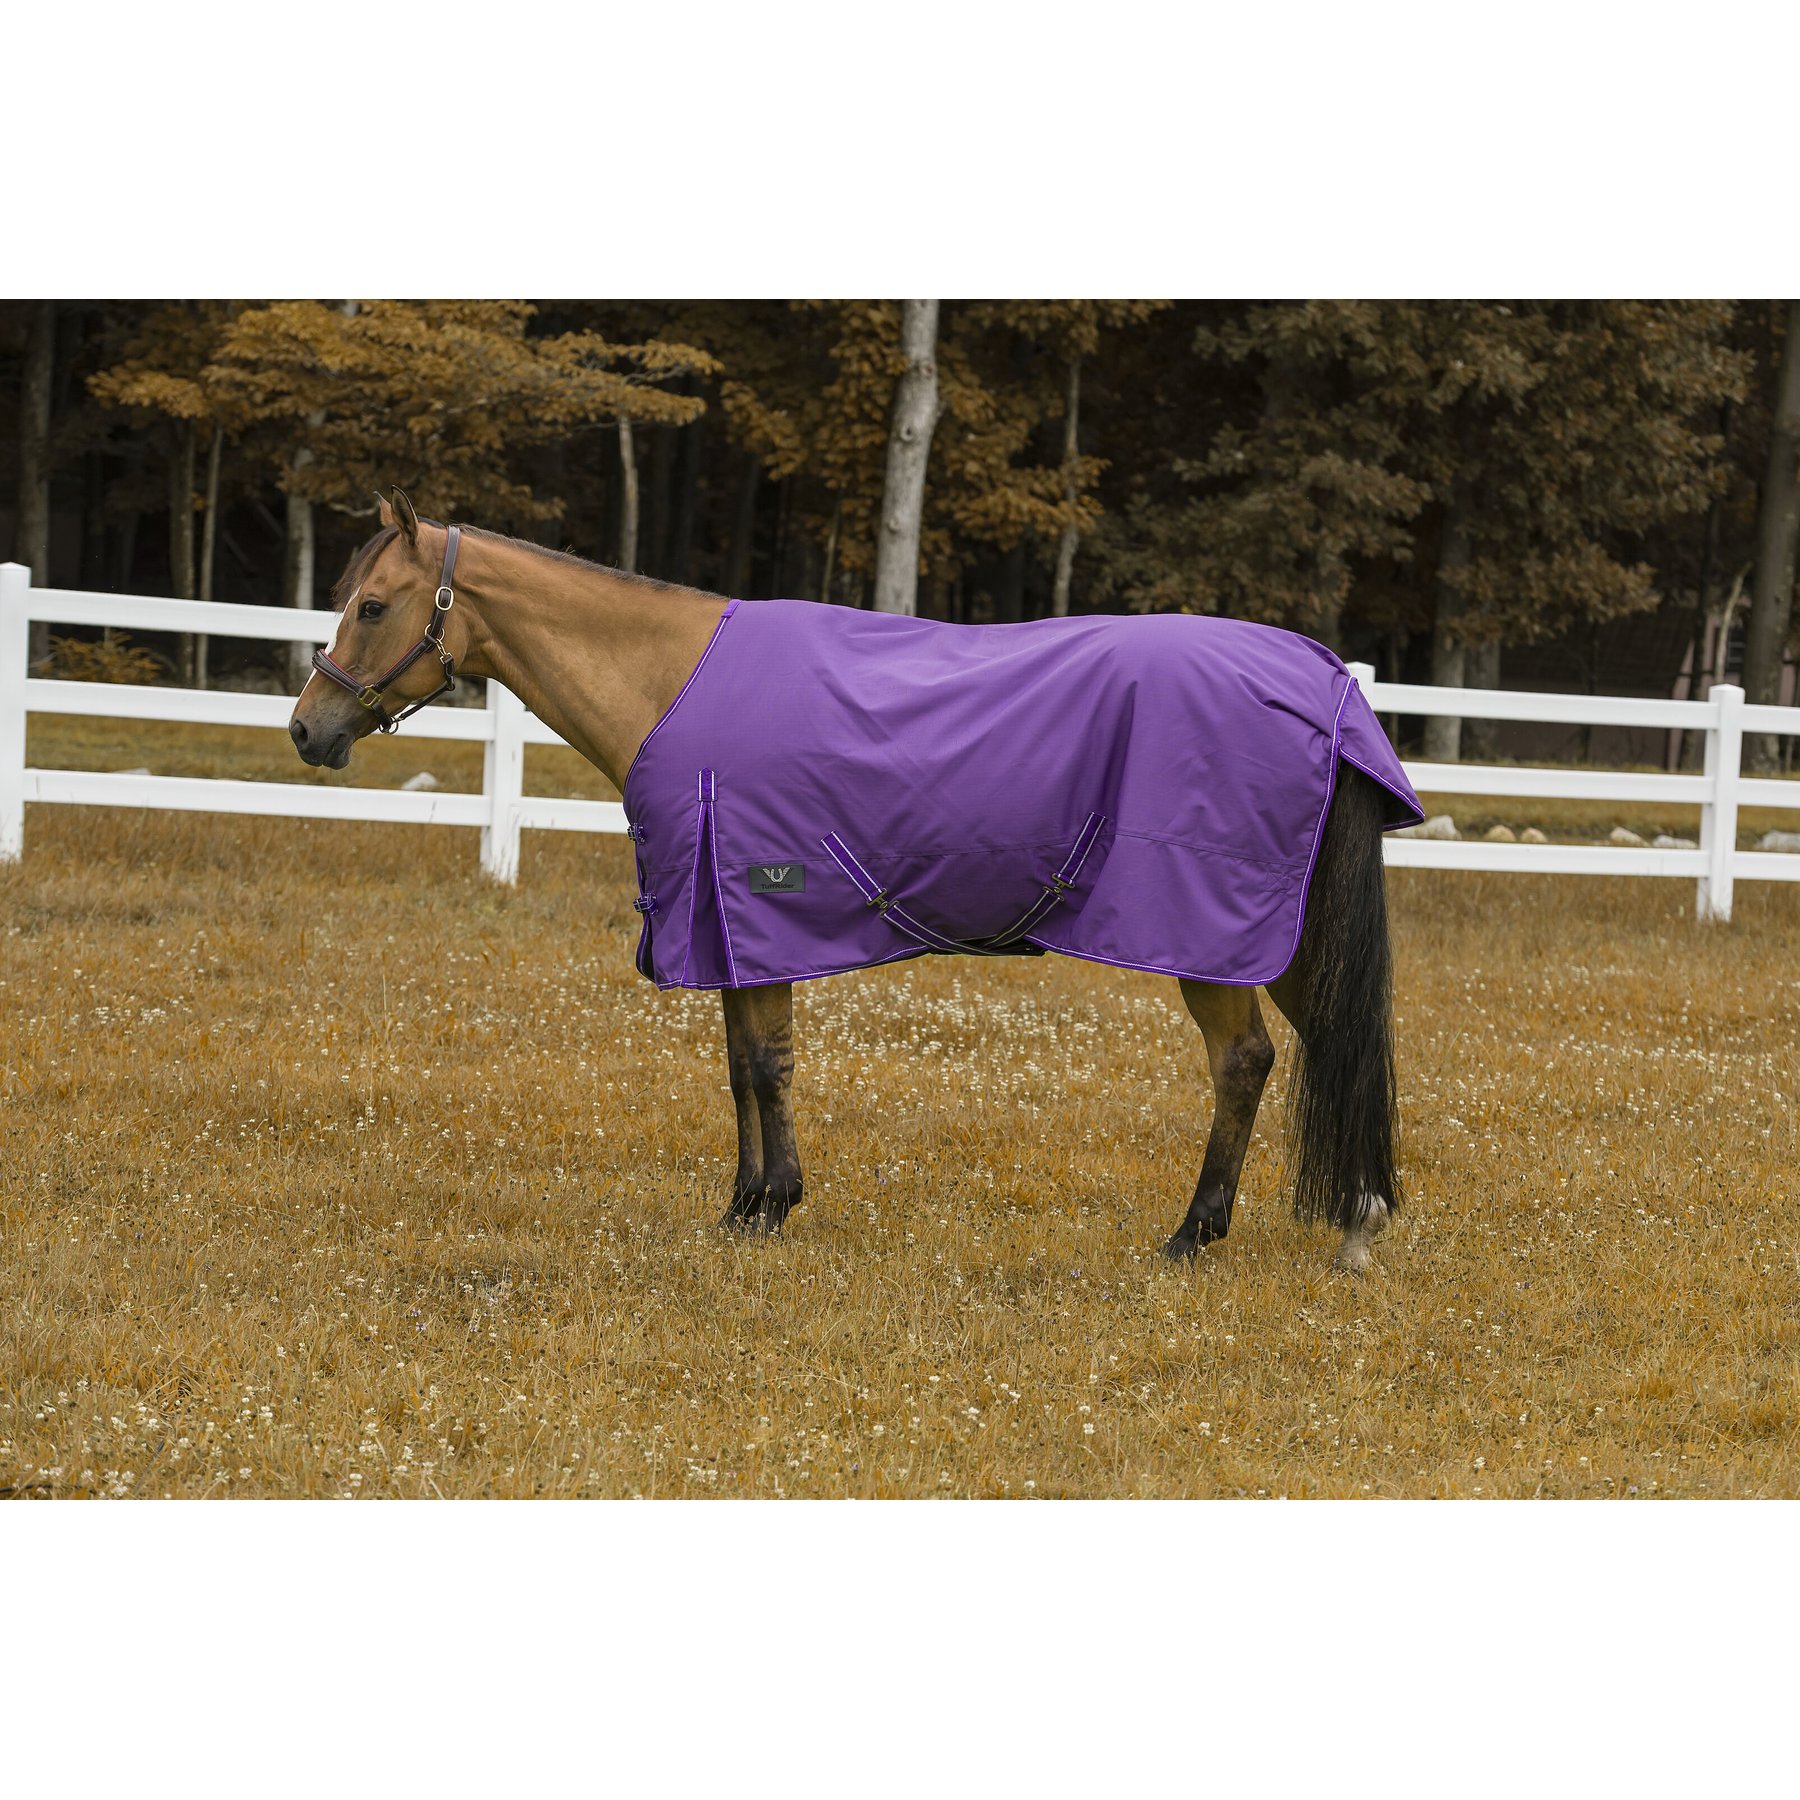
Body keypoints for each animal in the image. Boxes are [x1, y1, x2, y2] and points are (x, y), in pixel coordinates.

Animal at [289, 490, 1418, 1271]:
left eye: (372, 606)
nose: (307, 729)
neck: (672, 681)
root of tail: (1320, 678)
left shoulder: (750, 903)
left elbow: (768, 1064)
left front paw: (770, 1206)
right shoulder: (727, 925)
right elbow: (743, 1065)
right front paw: (747, 1202)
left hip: (1209, 937)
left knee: (1246, 1064)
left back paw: (1196, 1233)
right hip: (1287, 936)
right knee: (1330, 1043)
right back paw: (1356, 1221)